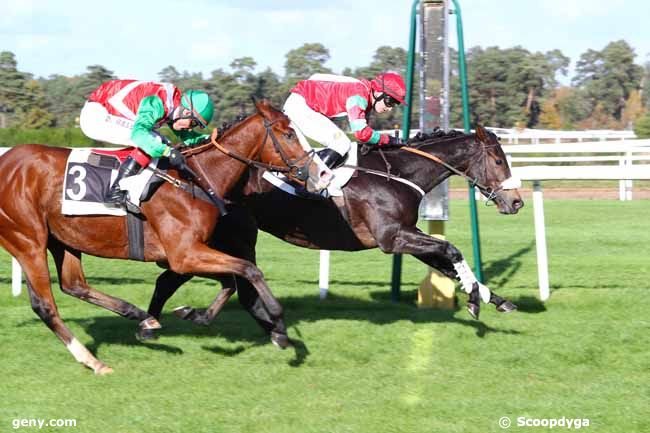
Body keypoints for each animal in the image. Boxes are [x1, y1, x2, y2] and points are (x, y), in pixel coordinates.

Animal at [0, 99, 326, 372]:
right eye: (289, 135)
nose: (321, 174)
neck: (197, 179)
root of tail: (6, 161)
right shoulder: (184, 254)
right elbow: (249, 270)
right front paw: (280, 325)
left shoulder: (189, 253)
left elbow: (229, 281)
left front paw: (193, 314)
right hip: (28, 240)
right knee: (45, 305)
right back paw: (93, 359)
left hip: (63, 240)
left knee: (74, 285)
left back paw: (138, 316)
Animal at [140, 125, 520, 344]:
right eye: (499, 161)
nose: (516, 201)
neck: (397, 173)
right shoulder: (393, 238)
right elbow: (451, 251)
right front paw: (475, 302)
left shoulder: (406, 236)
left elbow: (447, 262)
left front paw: (494, 299)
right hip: (226, 237)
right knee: (192, 278)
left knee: (183, 278)